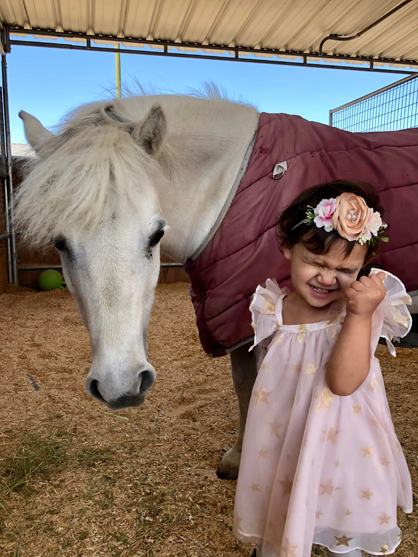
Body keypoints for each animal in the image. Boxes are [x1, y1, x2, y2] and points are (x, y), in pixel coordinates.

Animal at [16, 94, 262, 478]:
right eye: (59, 243)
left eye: (157, 234)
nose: (120, 386)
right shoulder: (236, 314)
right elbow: (245, 384)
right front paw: (239, 458)